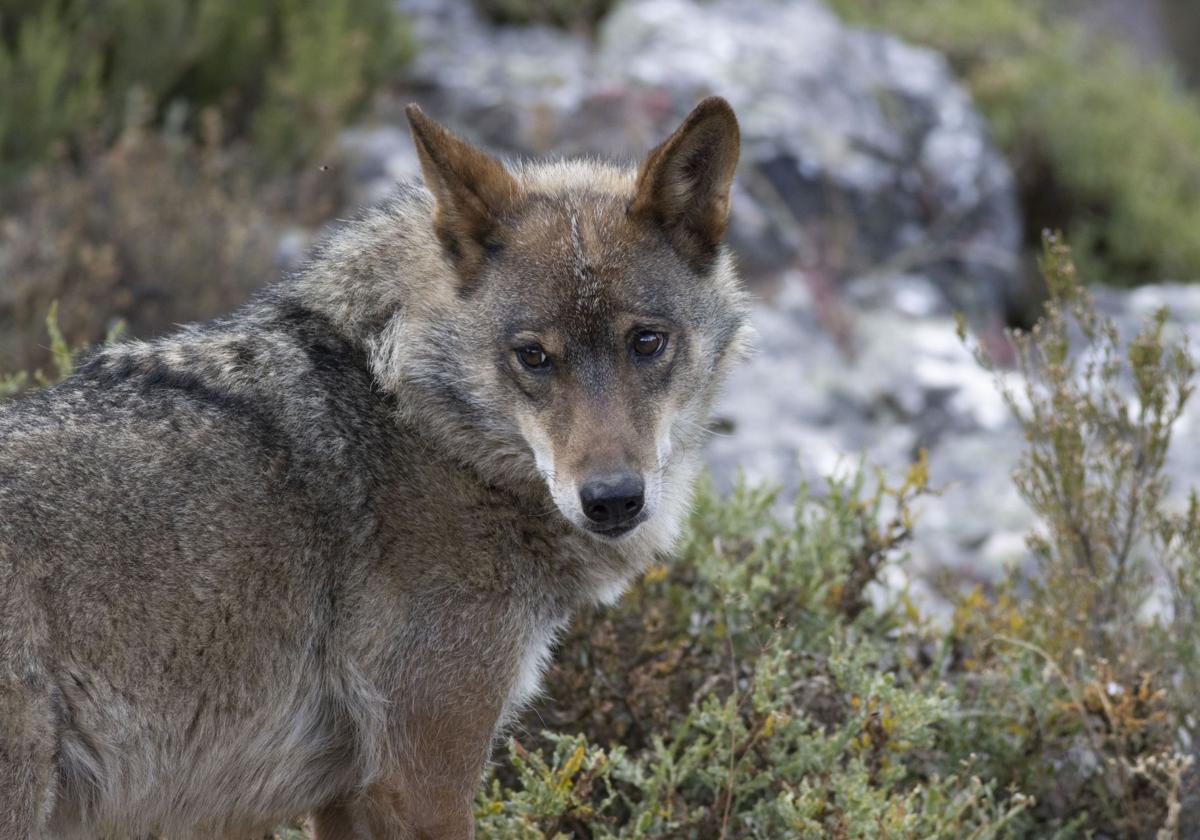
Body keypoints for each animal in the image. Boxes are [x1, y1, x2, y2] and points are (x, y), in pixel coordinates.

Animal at [0, 96, 748, 835]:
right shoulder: (421, 780)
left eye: (646, 342)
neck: (422, 422)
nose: (613, 499)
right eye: (533, 356)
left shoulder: (346, 794)